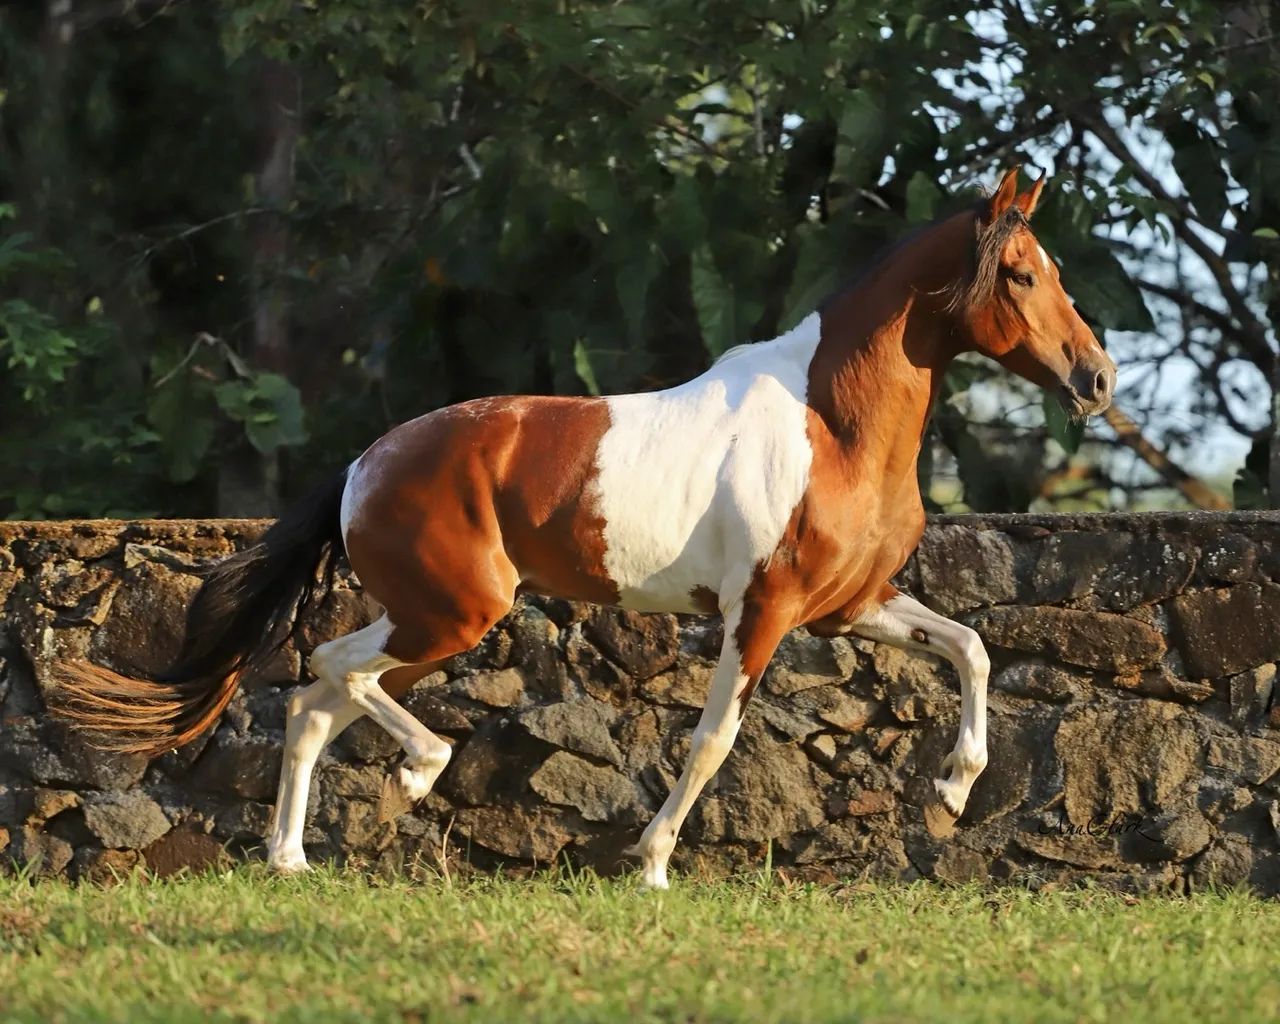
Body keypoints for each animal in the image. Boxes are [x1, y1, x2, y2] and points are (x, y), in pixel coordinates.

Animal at [54, 167, 1116, 888]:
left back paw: (291, 858)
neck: (833, 426)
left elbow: (972, 647)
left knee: (319, 698)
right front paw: (649, 864)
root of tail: (363, 465)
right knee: (328, 669)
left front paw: (953, 791)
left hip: (428, 622)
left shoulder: (852, 606)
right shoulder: (762, 613)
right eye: (1020, 274)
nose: (1098, 379)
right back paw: (413, 779)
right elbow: (714, 739)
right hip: (454, 614)